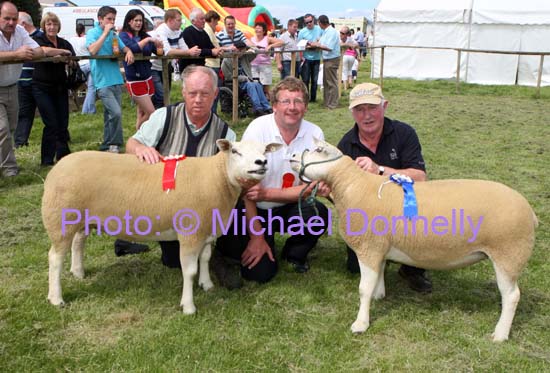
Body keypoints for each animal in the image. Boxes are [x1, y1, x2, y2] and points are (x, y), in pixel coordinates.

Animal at [43, 140, 282, 314]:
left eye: (264, 150)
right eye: (235, 151)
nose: (261, 162)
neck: (217, 178)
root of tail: (58, 167)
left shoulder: (207, 230)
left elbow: (205, 259)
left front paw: (207, 284)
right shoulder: (190, 232)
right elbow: (189, 271)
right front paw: (188, 306)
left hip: (82, 219)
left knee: (78, 242)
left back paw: (78, 272)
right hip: (59, 219)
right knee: (55, 258)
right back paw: (56, 298)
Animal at [294, 139, 540, 340]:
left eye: (318, 150)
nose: (294, 155)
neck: (353, 186)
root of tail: (530, 212)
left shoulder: (368, 248)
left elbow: (363, 288)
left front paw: (360, 323)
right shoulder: (379, 248)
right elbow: (378, 276)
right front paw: (378, 296)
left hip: (509, 255)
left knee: (512, 296)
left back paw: (500, 334)